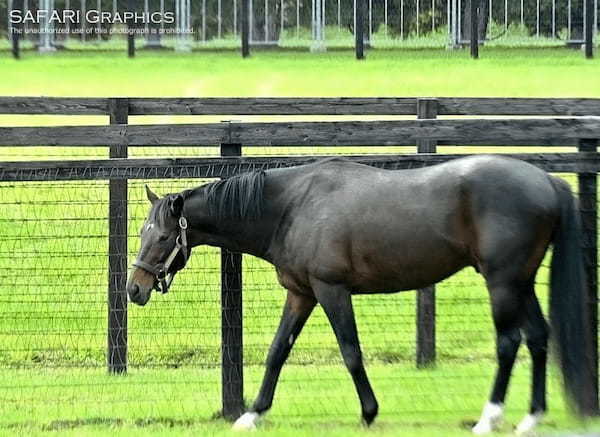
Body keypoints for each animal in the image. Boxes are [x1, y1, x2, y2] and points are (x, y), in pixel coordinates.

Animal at [124, 154, 592, 432]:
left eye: (162, 237)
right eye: (143, 233)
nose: (134, 288)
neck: (292, 206)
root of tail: (547, 180)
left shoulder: (331, 290)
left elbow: (350, 351)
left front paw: (369, 411)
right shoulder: (301, 294)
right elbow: (277, 351)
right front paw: (253, 413)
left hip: (503, 282)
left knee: (509, 342)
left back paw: (488, 418)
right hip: (522, 282)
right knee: (538, 338)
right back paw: (530, 418)